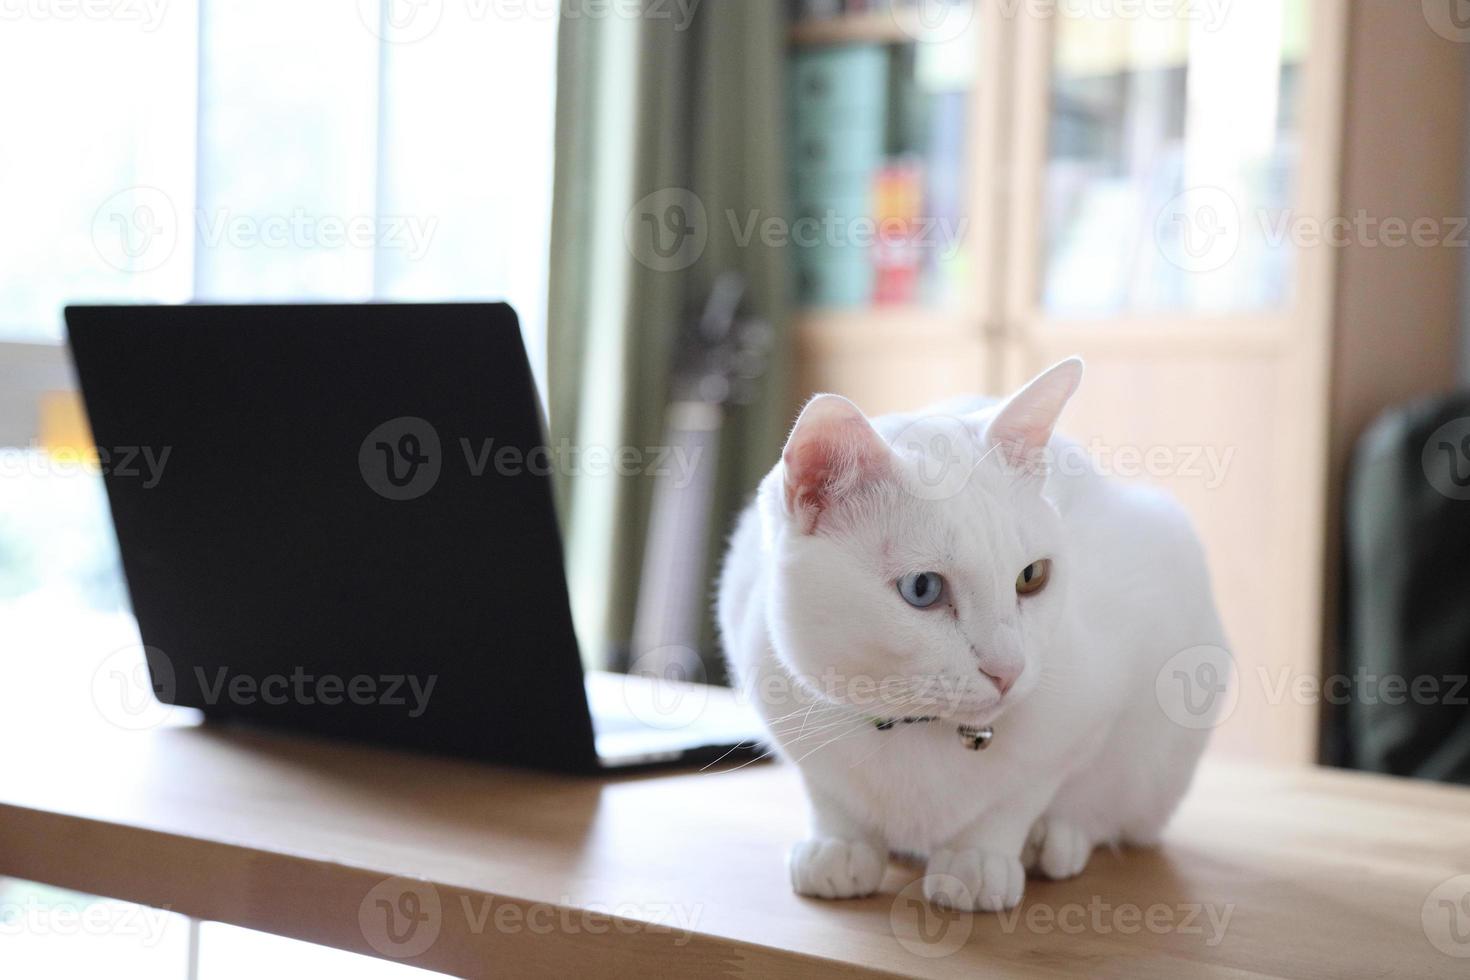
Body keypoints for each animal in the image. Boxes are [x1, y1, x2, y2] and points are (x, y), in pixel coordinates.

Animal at [717, 358, 1223, 910]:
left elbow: (1016, 798)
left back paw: (1053, 841)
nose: (1008, 670)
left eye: (1032, 577)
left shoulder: (1083, 722)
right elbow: (828, 793)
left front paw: (978, 858)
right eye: (922, 588)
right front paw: (840, 844)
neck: (912, 732)